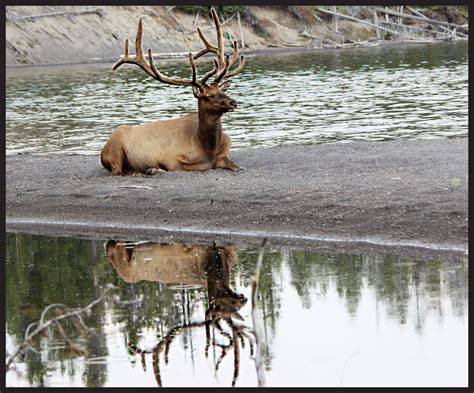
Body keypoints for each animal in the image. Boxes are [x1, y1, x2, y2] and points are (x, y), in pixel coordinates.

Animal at [101, 7, 246, 176]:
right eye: (208, 96)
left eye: (222, 90)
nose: (233, 102)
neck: (208, 148)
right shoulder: (170, 157)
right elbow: (178, 167)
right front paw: (153, 168)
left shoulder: (224, 153)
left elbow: (235, 165)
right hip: (115, 149)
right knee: (117, 170)